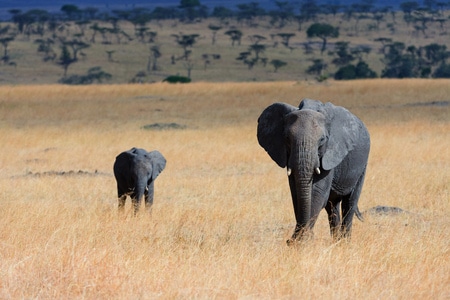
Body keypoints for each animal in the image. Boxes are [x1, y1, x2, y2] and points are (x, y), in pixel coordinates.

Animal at [256, 98, 370, 244]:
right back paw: (336, 242)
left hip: (362, 166)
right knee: (332, 206)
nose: (288, 241)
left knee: (350, 202)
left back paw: (344, 243)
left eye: (322, 140)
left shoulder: (329, 154)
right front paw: (300, 241)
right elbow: (296, 193)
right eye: (287, 139)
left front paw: (302, 242)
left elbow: (317, 192)